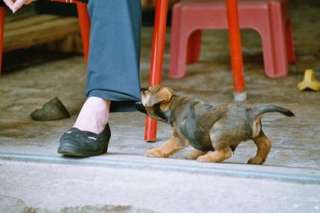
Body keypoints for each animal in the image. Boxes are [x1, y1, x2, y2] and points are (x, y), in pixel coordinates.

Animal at [140, 86, 296, 165]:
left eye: (146, 92)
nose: (141, 89)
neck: (173, 103)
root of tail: (251, 111)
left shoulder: (178, 138)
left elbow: (167, 146)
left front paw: (155, 152)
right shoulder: (200, 137)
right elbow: (201, 147)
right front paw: (193, 154)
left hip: (217, 131)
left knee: (226, 152)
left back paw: (208, 159)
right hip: (257, 134)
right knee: (265, 144)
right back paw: (256, 160)